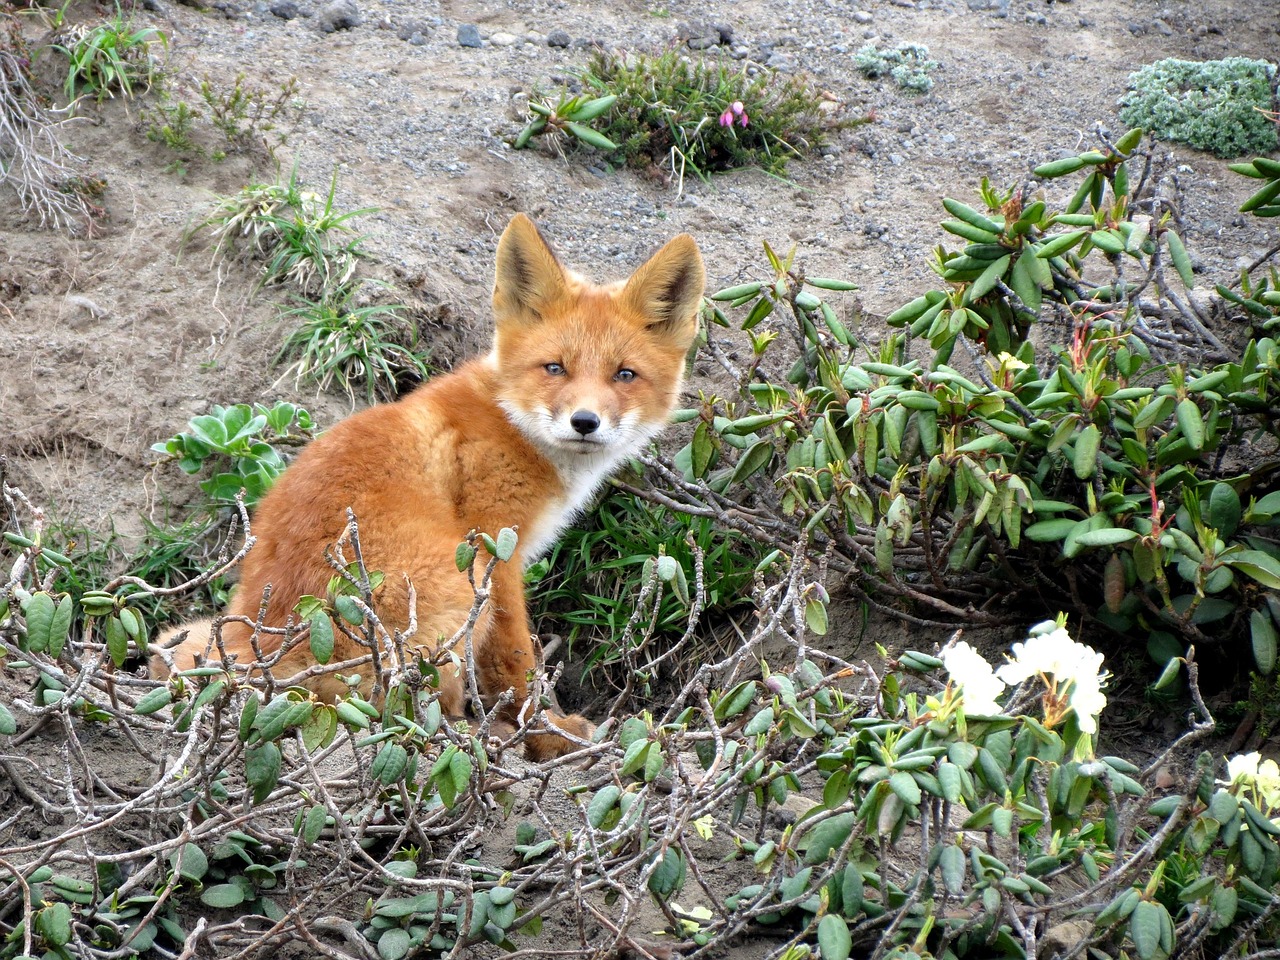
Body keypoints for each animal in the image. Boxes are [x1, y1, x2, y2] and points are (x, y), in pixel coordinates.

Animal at [152, 216, 711, 757]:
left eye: (625, 375)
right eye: (555, 368)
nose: (585, 422)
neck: (511, 423)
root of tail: (271, 646)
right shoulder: (497, 551)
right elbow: (515, 659)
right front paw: (546, 733)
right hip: (454, 585)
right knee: (401, 707)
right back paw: (478, 735)